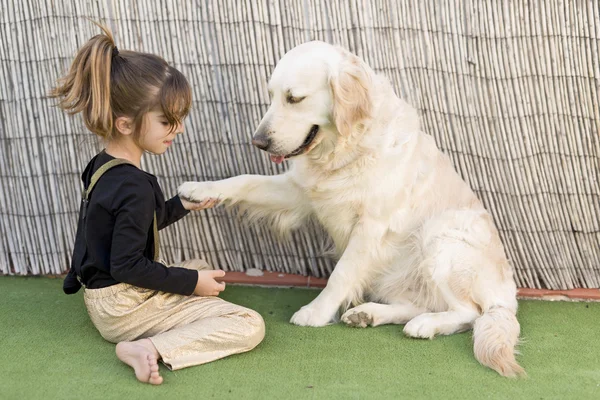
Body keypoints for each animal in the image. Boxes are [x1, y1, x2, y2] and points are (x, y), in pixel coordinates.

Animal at [179, 41, 524, 378]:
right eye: (271, 96)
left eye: (294, 98)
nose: (259, 141)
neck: (345, 148)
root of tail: (507, 294)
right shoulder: (299, 192)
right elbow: (246, 181)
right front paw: (199, 189)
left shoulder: (372, 225)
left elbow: (341, 274)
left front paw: (316, 312)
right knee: (421, 304)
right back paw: (368, 314)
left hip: (441, 236)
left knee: (469, 313)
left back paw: (425, 325)